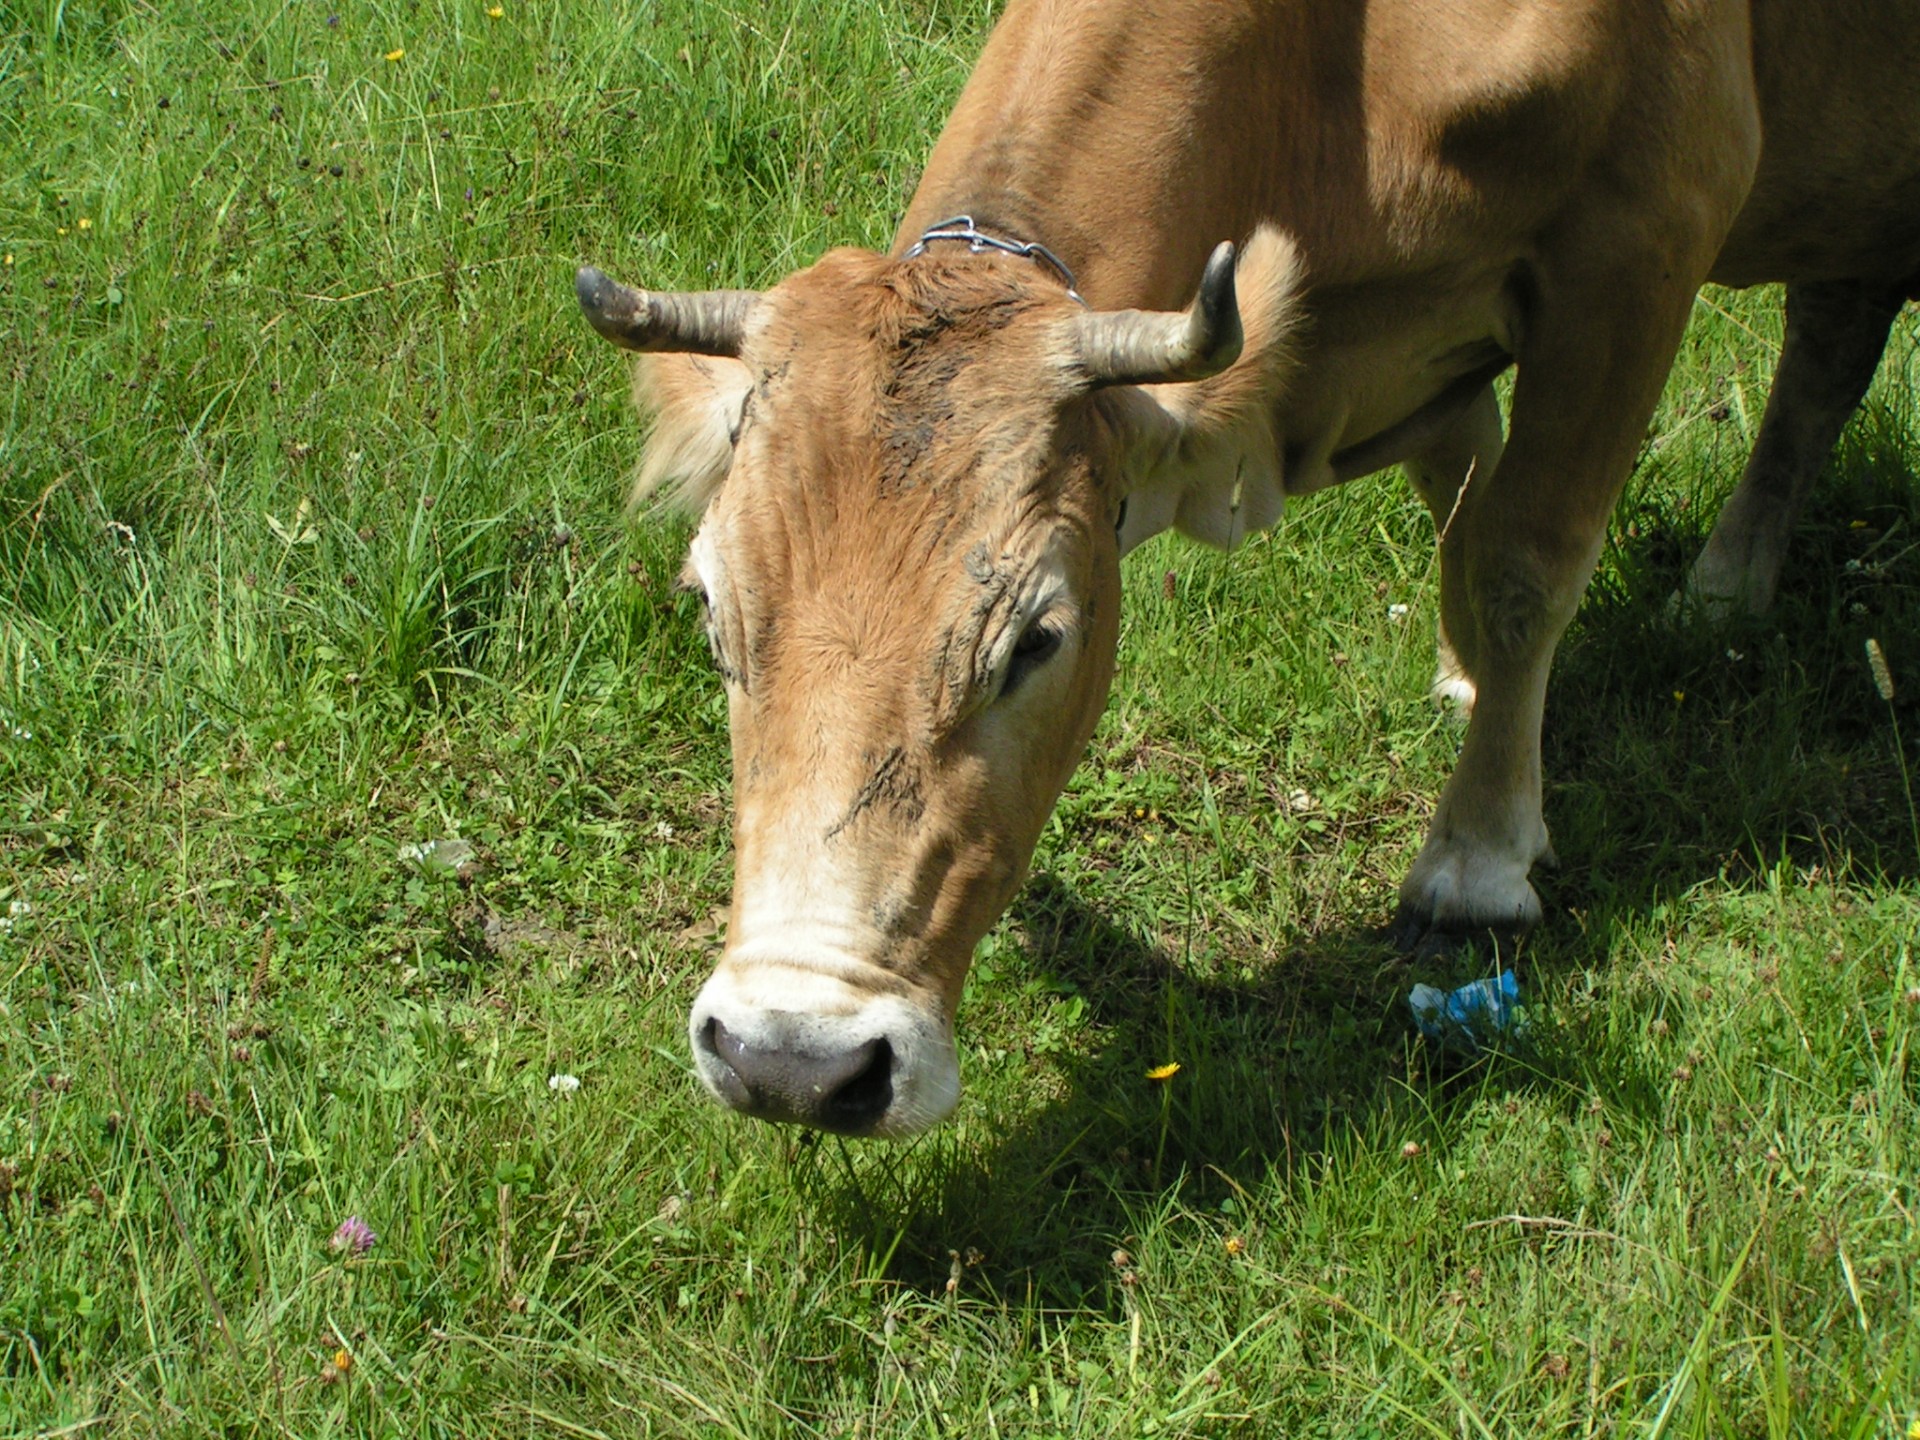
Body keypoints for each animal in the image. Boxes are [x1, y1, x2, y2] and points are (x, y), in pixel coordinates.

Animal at [576, 0, 1920, 1136]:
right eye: (712, 616)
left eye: (1037, 641)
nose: (790, 1063)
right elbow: (1466, 496)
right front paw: (1470, 678)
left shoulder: (1643, 235)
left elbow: (1526, 559)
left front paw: (1479, 858)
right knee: (1837, 331)